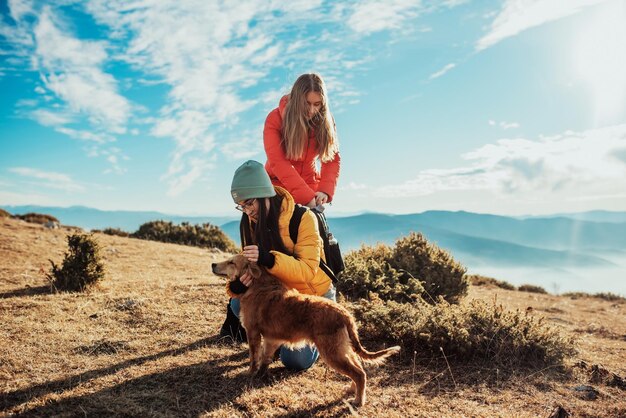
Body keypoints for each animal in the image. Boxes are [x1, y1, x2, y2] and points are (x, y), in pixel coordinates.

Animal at [211, 253, 400, 406]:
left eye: (231, 262)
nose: (213, 264)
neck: (257, 285)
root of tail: (345, 314)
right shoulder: (272, 338)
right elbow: (265, 357)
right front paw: (261, 374)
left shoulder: (253, 333)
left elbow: (254, 358)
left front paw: (250, 373)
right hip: (342, 349)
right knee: (359, 367)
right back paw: (351, 389)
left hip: (331, 352)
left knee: (359, 373)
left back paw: (359, 400)